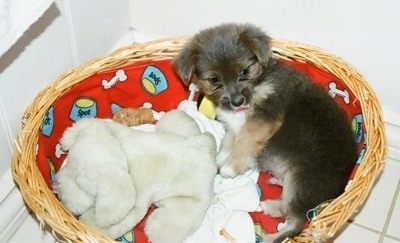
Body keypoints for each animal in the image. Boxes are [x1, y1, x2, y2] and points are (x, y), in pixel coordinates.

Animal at [173, 23, 358, 243]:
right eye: (214, 80)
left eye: (244, 71)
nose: (237, 101)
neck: (259, 80)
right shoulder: (233, 124)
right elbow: (230, 137)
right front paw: (221, 157)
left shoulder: (265, 115)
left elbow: (244, 139)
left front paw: (231, 167)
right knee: (292, 211)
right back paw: (273, 197)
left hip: (301, 181)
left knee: (297, 221)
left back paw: (271, 232)